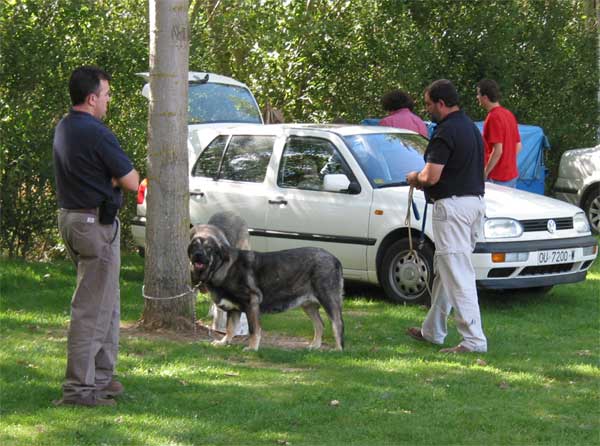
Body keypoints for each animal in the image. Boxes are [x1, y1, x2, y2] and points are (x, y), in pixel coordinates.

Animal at [188, 232, 346, 350]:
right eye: (194, 246)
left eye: (208, 248)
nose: (197, 254)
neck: (221, 267)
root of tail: (335, 259)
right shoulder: (234, 309)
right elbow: (230, 328)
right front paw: (224, 342)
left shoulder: (251, 303)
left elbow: (254, 330)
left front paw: (252, 348)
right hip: (308, 305)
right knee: (320, 324)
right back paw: (315, 346)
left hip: (328, 299)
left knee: (337, 323)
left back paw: (338, 349)